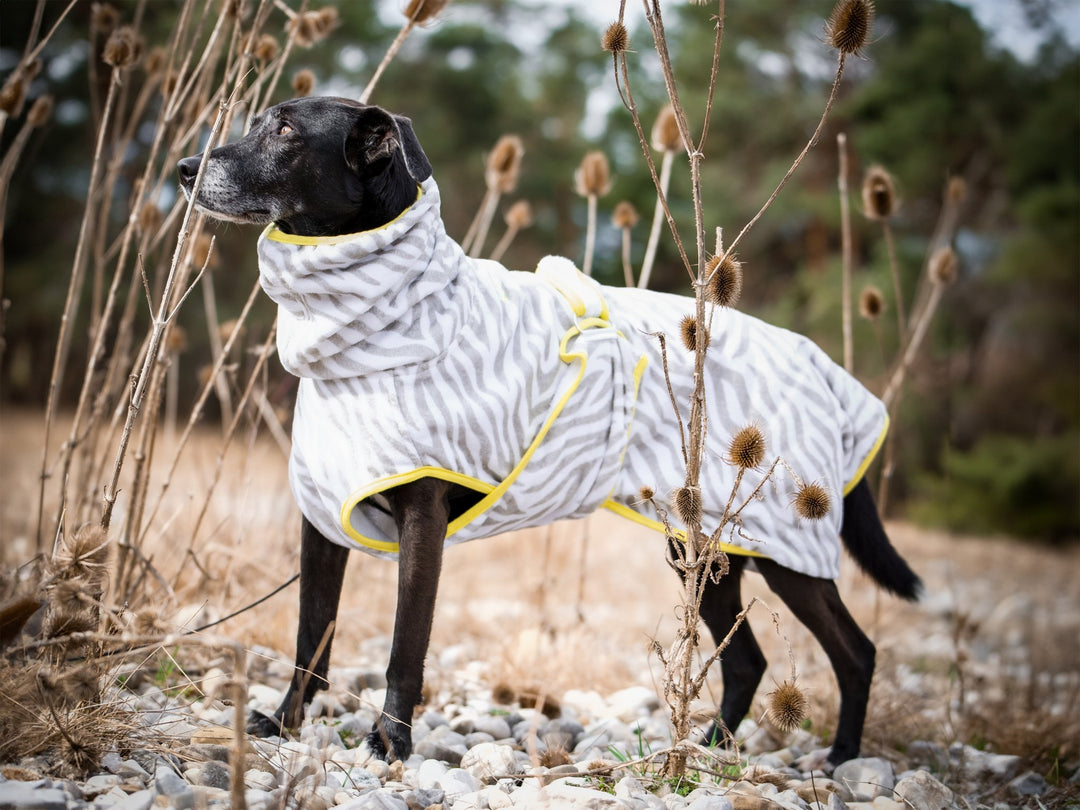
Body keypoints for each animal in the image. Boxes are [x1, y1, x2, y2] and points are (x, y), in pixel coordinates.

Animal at [177, 96, 920, 768]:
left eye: (284, 131)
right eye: (256, 120)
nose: (184, 167)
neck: (389, 319)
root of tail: (824, 367)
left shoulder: (422, 522)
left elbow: (403, 647)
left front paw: (391, 741)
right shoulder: (323, 516)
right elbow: (311, 635)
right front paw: (285, 723)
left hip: (785, 548)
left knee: (856, 651)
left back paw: (841, 756)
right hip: (705, 546)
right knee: (747, 662)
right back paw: (706, 749)